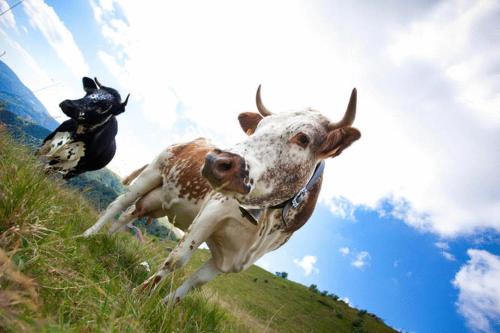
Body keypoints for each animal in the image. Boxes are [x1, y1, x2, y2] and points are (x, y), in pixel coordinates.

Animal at [82, 85, 360, 304]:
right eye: (258, 127)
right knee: (118, 205)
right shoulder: (212, 213)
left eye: (303, 138)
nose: (216, 161)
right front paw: (139, 296)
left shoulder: (234, 259)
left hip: (158, 200)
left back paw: (106, 239)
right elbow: (177, 260)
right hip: (152, 174)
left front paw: (164, 306)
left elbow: (196, 283)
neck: (261, 227)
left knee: (130, 214)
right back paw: (88, 236)